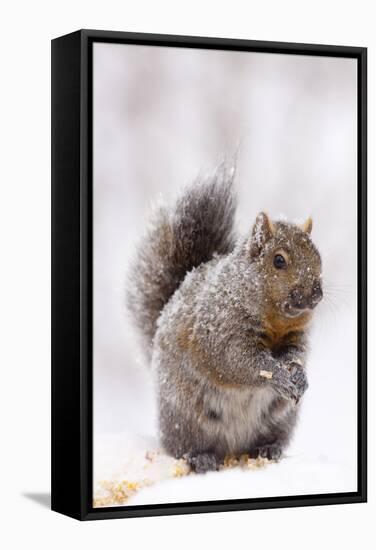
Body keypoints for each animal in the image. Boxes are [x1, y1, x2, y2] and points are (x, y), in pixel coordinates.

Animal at [127, 163, 324, 474]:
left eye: (318, 257)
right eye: (278, 260)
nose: (316, 294)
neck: (275, 317)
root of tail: (233, 448)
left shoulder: (296, 335)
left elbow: (296, 354)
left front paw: (299, 376)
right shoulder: (221, 330)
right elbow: (238, 360)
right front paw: (279, 375)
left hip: (280, 418)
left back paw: (269, 449)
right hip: (184, 417)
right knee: (183, 447)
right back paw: (201, 457)